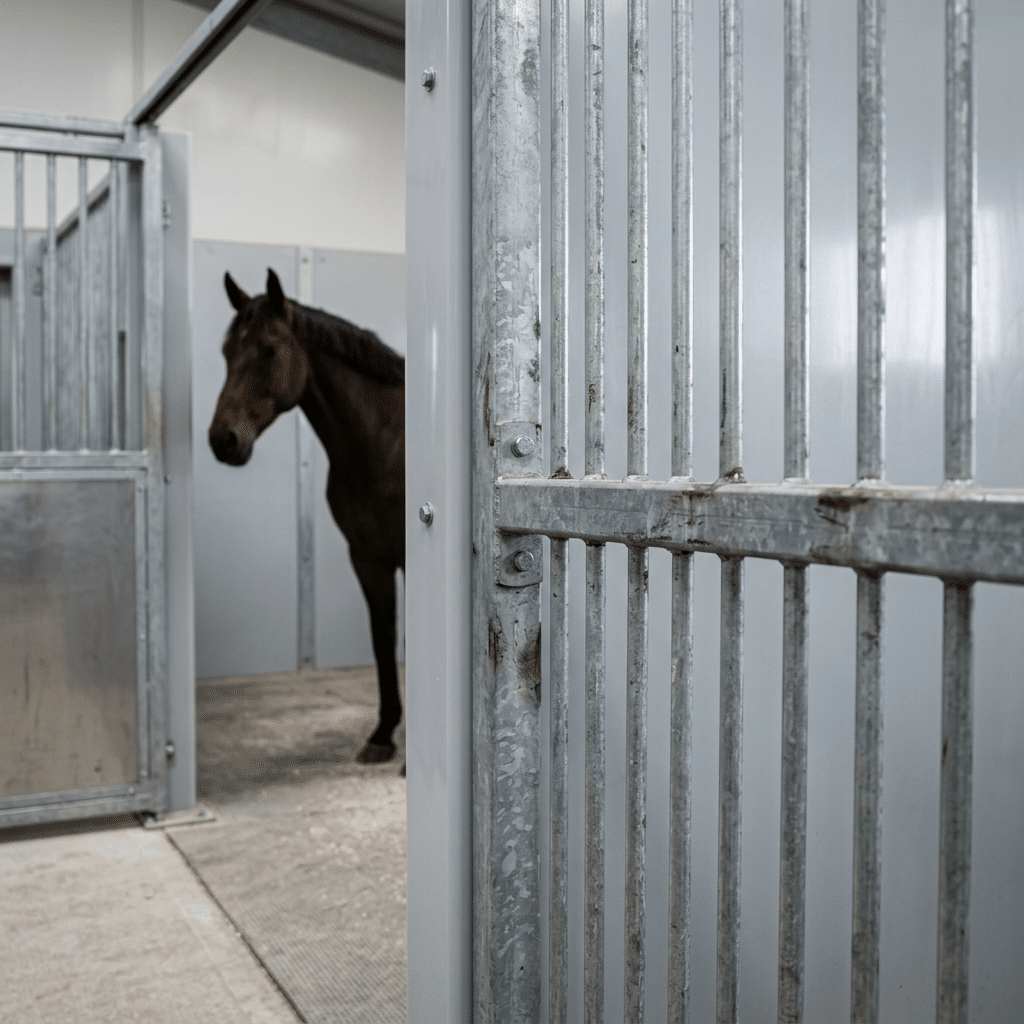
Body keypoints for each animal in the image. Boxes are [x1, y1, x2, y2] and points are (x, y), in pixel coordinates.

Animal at [208, 267, 405, 766]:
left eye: (270, 349)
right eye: (226, 353)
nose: (223, 440)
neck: (383, 444)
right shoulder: (368, 558)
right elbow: (383, 639)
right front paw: (382, 735)